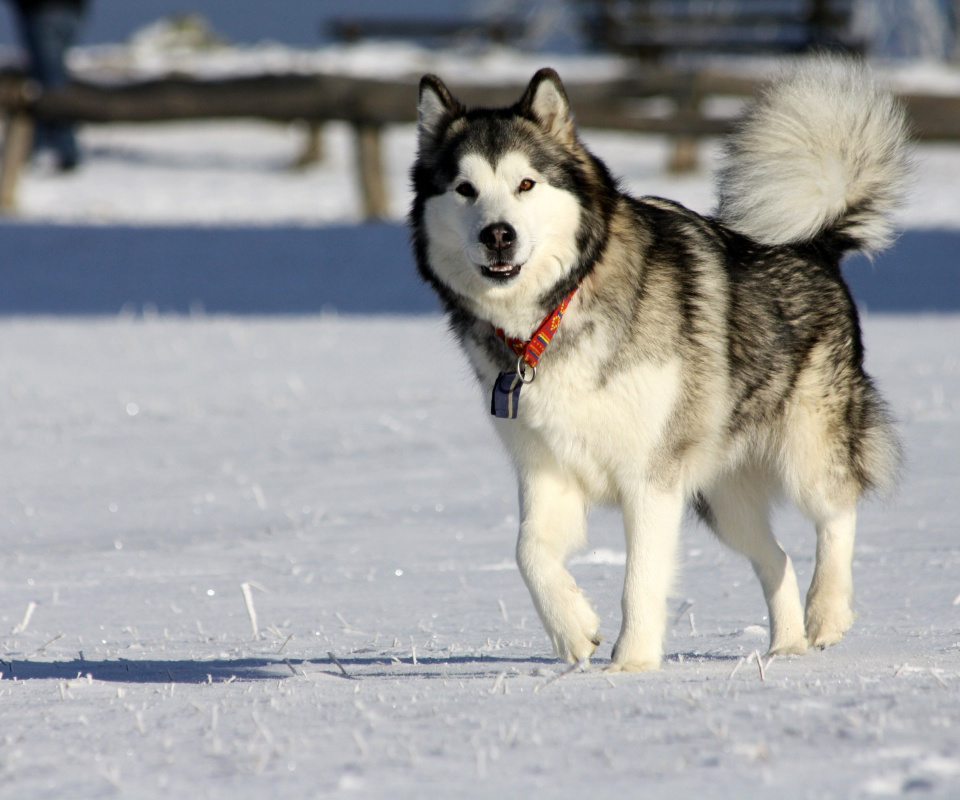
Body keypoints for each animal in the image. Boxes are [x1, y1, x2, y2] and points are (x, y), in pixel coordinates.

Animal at [408, 61, 912, 668]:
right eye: (465, 189)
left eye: (525, 184)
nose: (497, 235)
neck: (556, 312)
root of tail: (814, 245)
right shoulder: (547, 469)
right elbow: (528, 552)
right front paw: (573, 630)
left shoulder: (650, 478)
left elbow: (641, 579)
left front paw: (631, 664)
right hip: (721, 497)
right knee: (776, 557)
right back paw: (786, 647)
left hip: (806, 449)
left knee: (838, 510)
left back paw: (827, 612)